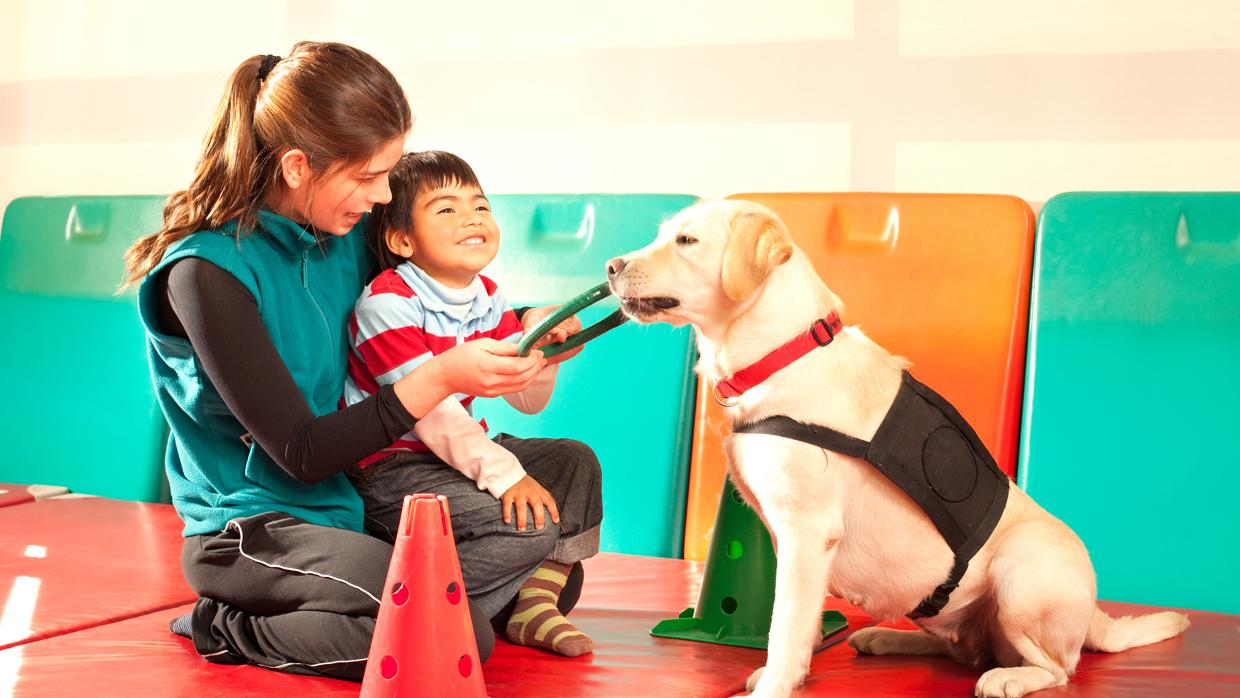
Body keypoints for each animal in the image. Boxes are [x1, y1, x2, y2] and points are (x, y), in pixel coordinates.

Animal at [605, 199, 1185, 694]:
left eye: (686, 240)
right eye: (661, 234)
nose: (610, 265)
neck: (783, 353)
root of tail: (1095, 615)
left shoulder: (806, 532)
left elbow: (784, 623)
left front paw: (775, 683)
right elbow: (796, 621)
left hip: (1021, 574)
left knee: (1057, 669)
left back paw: (1009, 678)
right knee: (964, 650)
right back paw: (886, 637)